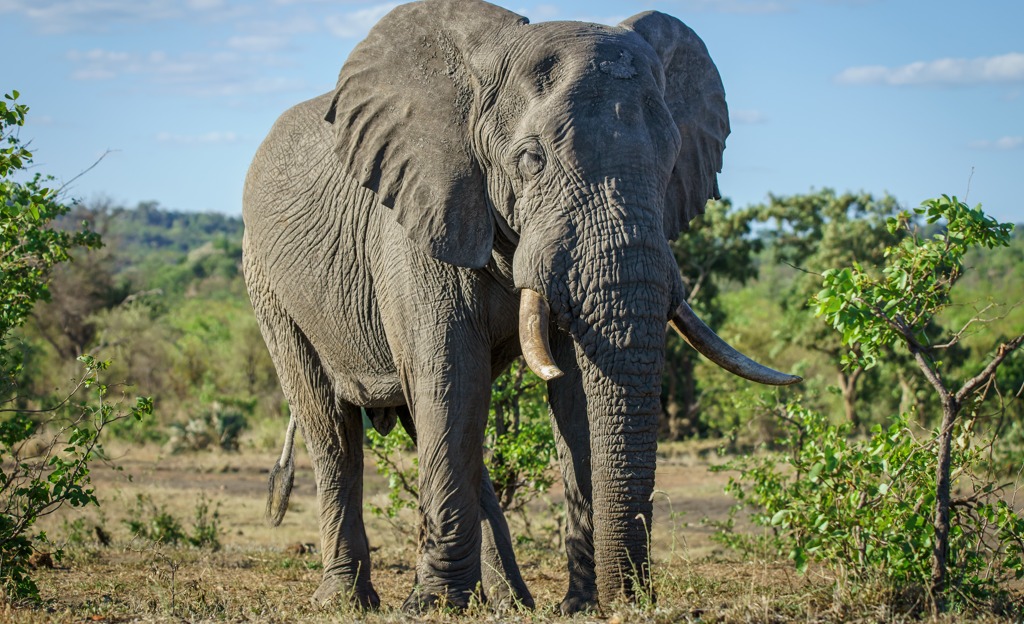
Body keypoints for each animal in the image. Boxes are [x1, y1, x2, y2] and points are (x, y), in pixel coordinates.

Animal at [242, 0, 799, 614]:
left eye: (673, 158)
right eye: (531, 159)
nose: (632, 600)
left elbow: (575, 391)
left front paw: (580, 607)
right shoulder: (417, 222)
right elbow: (452, 379)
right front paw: (433, 608)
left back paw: (509, 602)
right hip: (267, 281)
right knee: (333, 427)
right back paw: (348, 602)